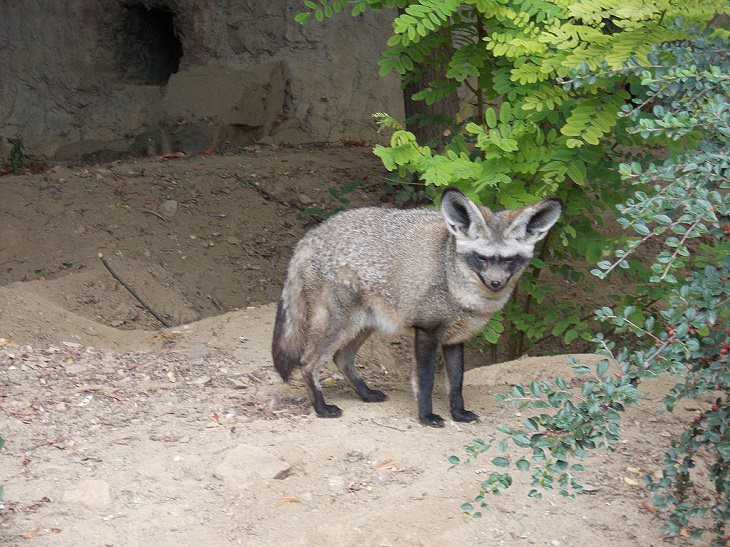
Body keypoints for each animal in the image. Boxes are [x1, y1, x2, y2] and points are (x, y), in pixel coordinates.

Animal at [270, 188, 560, 428]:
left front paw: (458, 413)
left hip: (364, 326)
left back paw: (366, 394)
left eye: (509, 260)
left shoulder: (455, 339)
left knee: (341, 359)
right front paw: (427, 416)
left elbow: (456, 383)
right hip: (338, 325)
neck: (453, 283)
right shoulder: (427, 332)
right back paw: (321, 408)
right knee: (307, 362)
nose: (496, 283)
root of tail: (310, 236)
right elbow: (426, 381)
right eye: (482, 258)